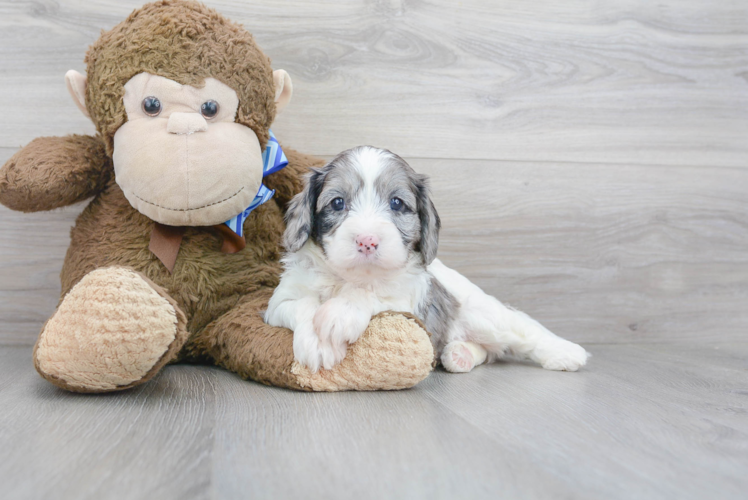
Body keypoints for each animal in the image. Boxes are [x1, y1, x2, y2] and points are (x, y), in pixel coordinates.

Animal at [264, 146, 592, 374]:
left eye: (397, 203)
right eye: (337, 202)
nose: (367, 241)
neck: (350, 277)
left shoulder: (407, 302)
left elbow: (373, 292)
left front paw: (341, 312)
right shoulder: (277, 305)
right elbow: (303, 305)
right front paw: (317, 343)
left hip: (485, 314)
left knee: (523, 331)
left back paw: (566, 352)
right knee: (489, 350)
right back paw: (460, 354)